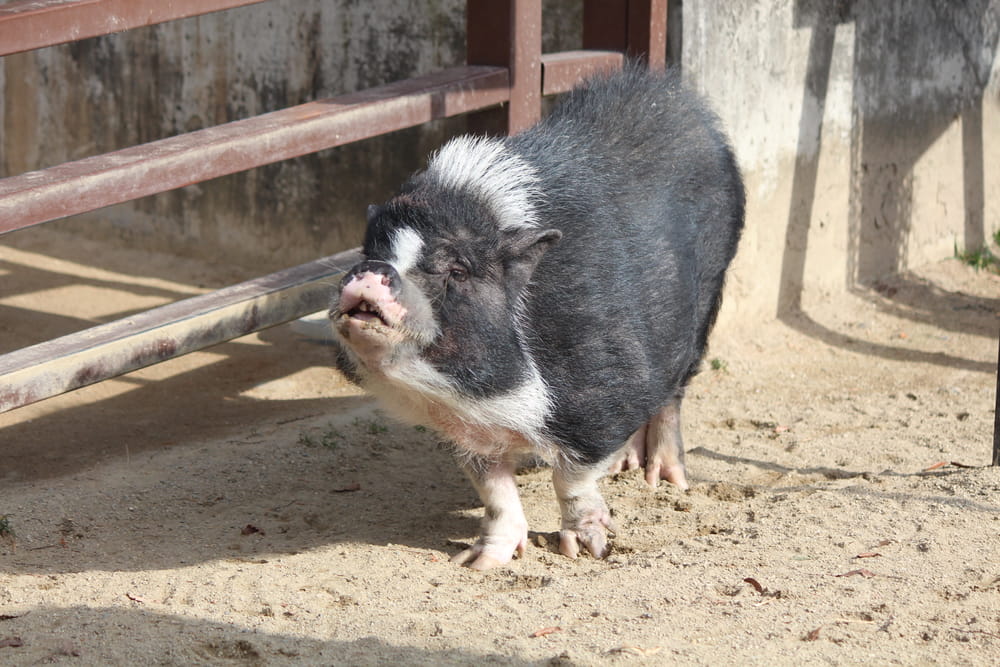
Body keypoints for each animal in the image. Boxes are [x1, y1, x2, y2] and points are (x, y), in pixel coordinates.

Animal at [328, 62, 744, 572]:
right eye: (370, 250)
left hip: (705, 302)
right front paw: (478, 563)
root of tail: (677, 96)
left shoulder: (601, 392)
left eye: (457, 270)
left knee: (673, 394)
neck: (497, 393)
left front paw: (588, 550)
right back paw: (625, 467)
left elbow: (571, 477)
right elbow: (493, 490)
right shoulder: (467, 428)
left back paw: (663, 481)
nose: (372, 270)